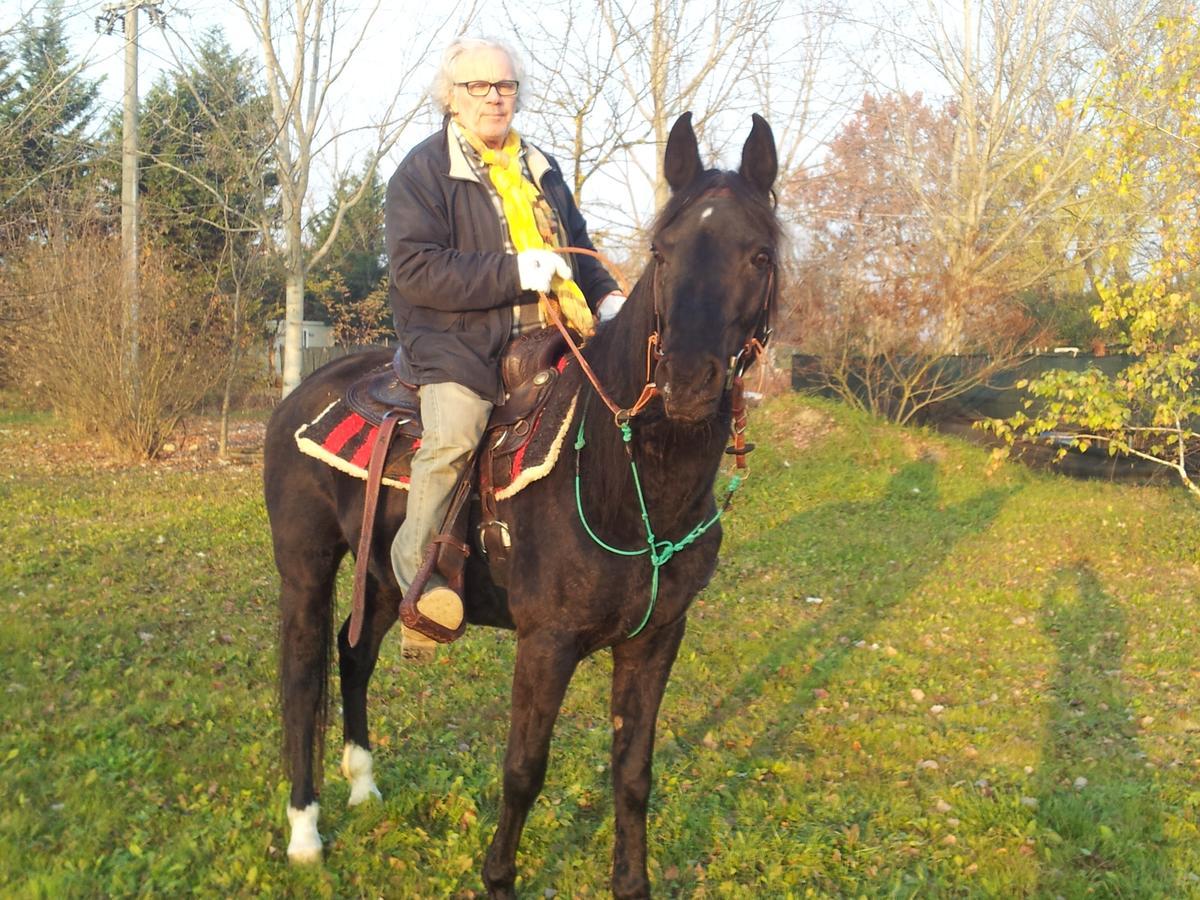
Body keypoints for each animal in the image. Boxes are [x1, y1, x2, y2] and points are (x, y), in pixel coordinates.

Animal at [265, 114, 777, 900]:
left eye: (759, 253)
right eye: (663, 253)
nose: (687, 381)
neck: (628, 487)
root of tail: (301, 394)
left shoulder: (658, 638)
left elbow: (633, 774)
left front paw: (632, 882)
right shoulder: (547, 642)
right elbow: (522, 771)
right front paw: (498, 878)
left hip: (381, 574)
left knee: (353, 658)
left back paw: (364, 785)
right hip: (306, 569)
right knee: (301, 682)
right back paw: (304, 833)